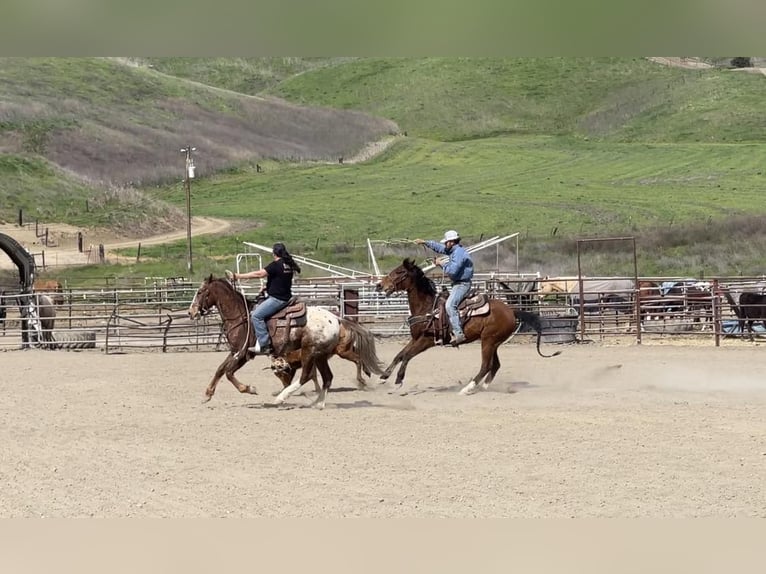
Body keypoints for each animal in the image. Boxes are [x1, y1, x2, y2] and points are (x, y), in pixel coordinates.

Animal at [189, 274, 342, 410]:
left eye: (200, 292)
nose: (191, 312)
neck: (241, 317)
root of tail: (335, 319)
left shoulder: (243, 354)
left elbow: (228, 373)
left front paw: (249, 388)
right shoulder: (235, 351)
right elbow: (220, 369)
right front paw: (207, 394)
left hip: (309, 351)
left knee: (306, 376)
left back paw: (280, 398)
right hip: (320, 355)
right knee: (327, 377)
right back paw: (318, 403)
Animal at [378, 260, 564, 396]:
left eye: (399, 272)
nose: (379, 285)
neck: (427, 307)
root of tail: (511, 311)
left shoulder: (427, 340)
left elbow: (407, 356)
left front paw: (398, 382)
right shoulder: (416, 338)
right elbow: (399, 355)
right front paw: (383, 377)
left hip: (488, 341)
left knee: (485, 366)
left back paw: (468, 388)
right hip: (493, 343)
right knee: (495, 365)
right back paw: (482, 387)